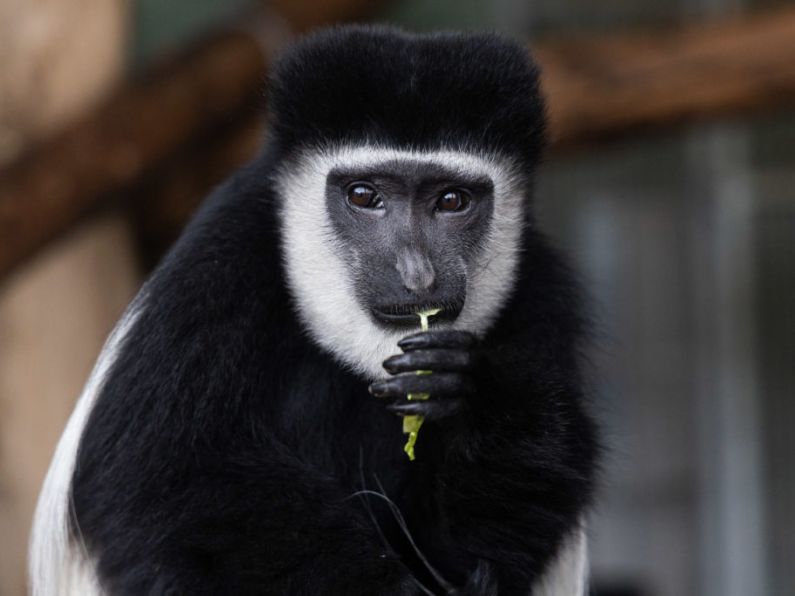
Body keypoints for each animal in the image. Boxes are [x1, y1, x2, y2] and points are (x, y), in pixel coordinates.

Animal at [29, 25, 596, 596]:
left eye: (453, 201)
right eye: (364, 195)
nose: (417, 274)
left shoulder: (542, 293)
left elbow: (520, 513)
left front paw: (475, 391)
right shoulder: (220, 258)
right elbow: (159, 477)